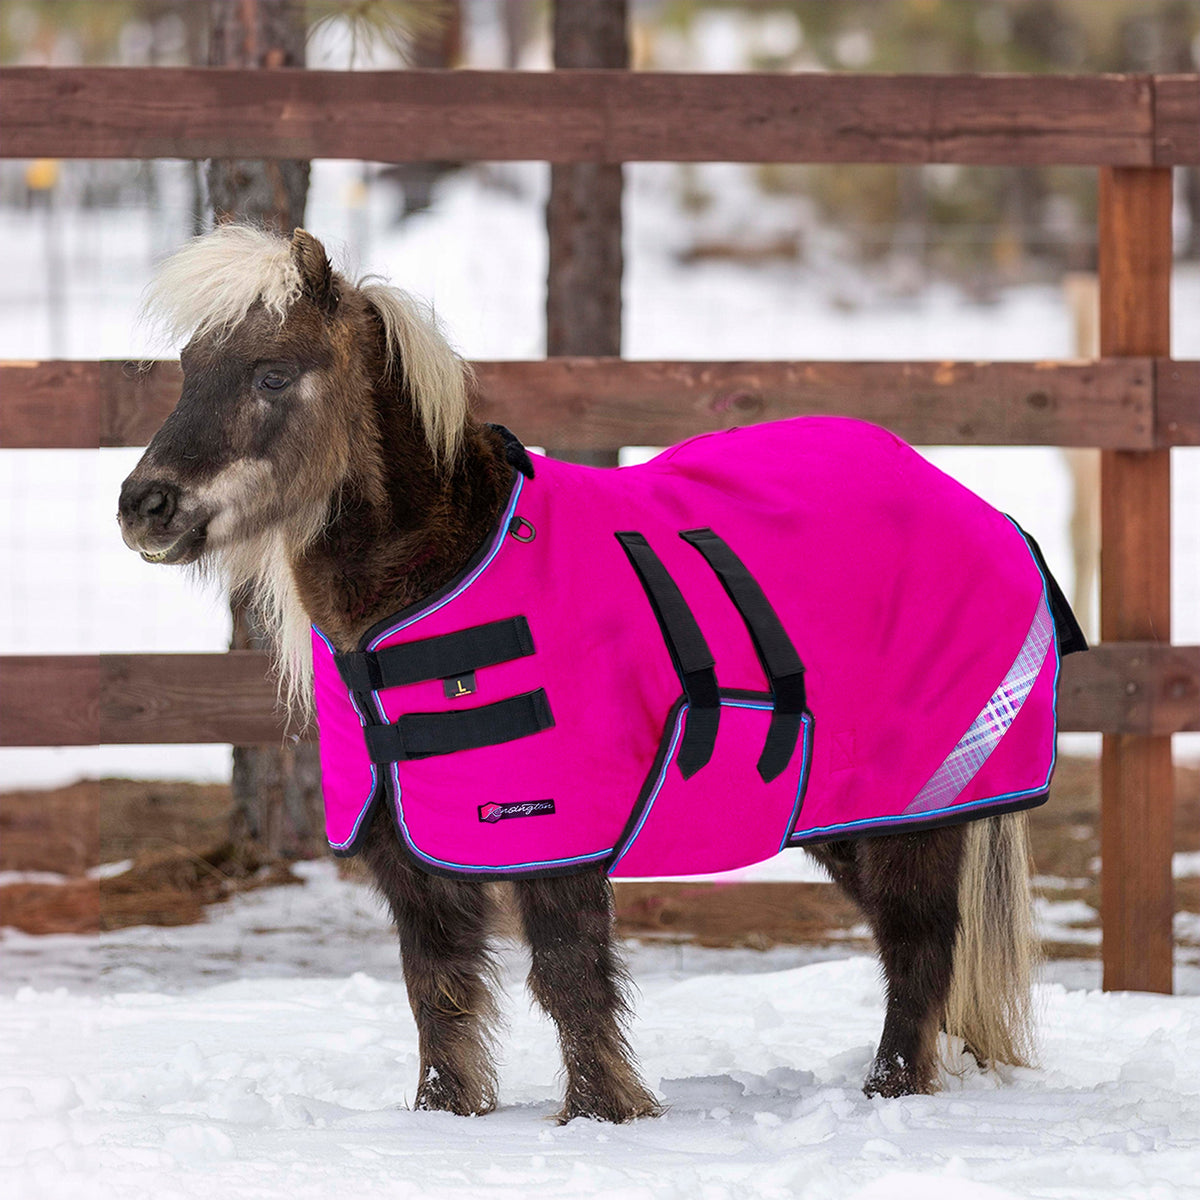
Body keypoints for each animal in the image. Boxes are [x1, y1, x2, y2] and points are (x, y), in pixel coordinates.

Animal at [118, 225, 1057, 1124]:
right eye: (188, 368)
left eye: (272, 373)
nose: (144, 507)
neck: (441, 578)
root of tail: (975, 506)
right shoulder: (407, 856)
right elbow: (437, 988)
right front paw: (443, 1116)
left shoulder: (559, 841)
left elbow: (568, 980)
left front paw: (603, 1115)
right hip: (848, 815)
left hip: (914, 811)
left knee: (917, 940)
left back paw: (891, 1092)